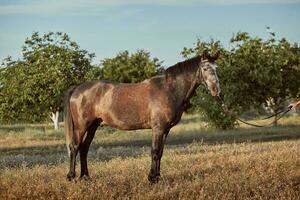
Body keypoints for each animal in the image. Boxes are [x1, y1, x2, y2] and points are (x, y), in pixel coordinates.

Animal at [63, 50, 220, 184]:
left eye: (217, 68)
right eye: (205, 68)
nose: (216, 90)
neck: (168, 89)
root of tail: (77, 88)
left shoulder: (165, 130)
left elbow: (160, 152)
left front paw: (157, 177)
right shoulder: (158, 129)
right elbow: (155, 152)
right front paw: (152, 179)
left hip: (93, 126)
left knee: (84, 148)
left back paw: (86, 177)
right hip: (81, 127)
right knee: (75, 147)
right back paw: (71, 176)